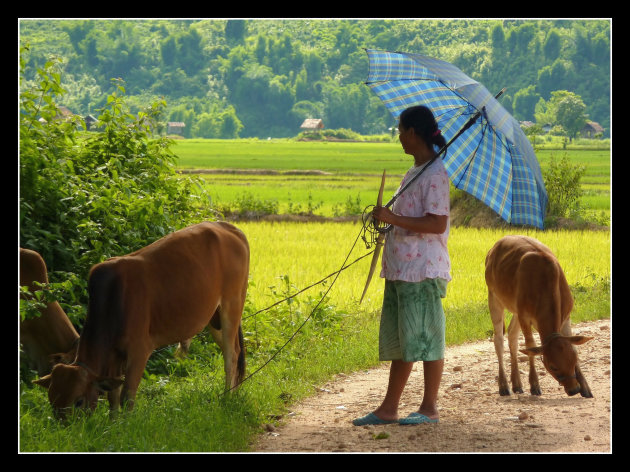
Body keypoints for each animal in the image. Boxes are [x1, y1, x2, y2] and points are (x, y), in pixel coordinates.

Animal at [34, 221, 251, 416]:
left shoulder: (139, 350)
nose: (65, 427)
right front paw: (113, 423)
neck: (113, 300)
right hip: (214, 318)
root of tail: (231, 228)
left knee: (231, 356)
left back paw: (227, 398)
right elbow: (113, 395)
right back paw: (235, 393)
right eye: (52, 401)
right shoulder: (114, 356)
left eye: (78, 401)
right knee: (233, 351)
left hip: (231, 306)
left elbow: (127, 396)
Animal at [486, 234, 596, 396]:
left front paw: (585, 388)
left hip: (515, 308)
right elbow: (531, 346)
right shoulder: (525, 317)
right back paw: (504, 386)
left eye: (574, 360)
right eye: (552, 366)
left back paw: (517, 384)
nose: (573, 389)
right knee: (498, 339)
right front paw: (534, 384)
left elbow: (572, 344)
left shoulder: (566, 316)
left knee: (512, 335)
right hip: (494, 296)